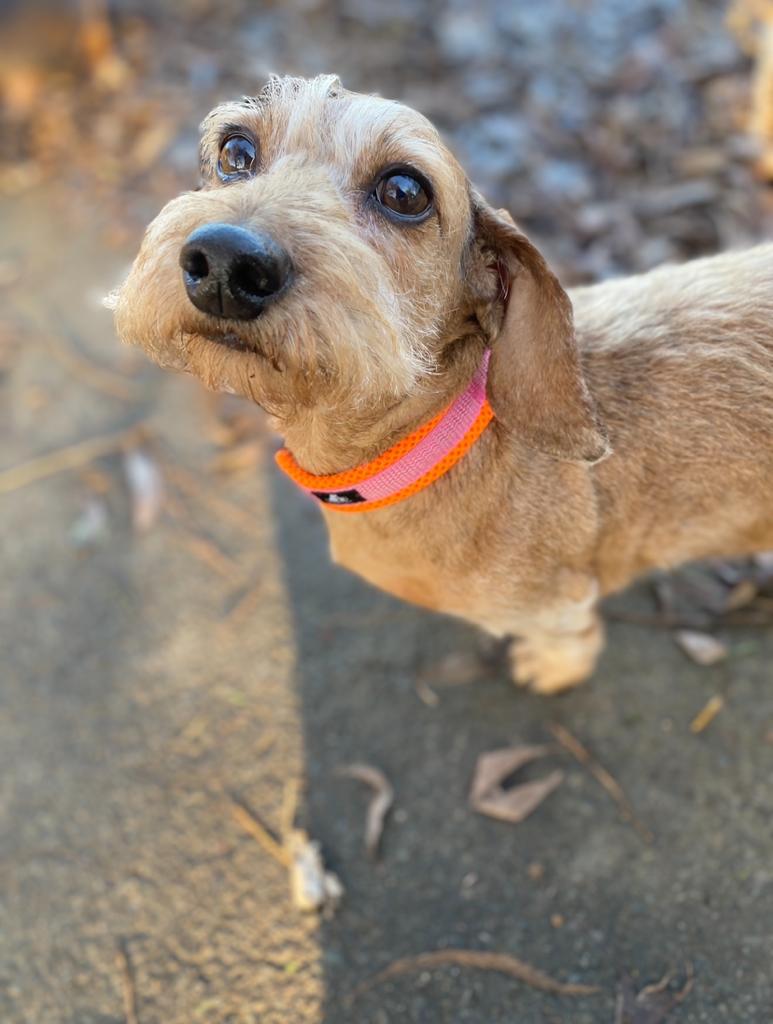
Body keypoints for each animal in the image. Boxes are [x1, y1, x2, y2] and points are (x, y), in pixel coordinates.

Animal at [112, 75, 773, 692]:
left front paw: (553, 667)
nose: (225, 262)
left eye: (405, 192)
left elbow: (568, 637)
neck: (439, 442)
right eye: (236, 151)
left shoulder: (558, 603)